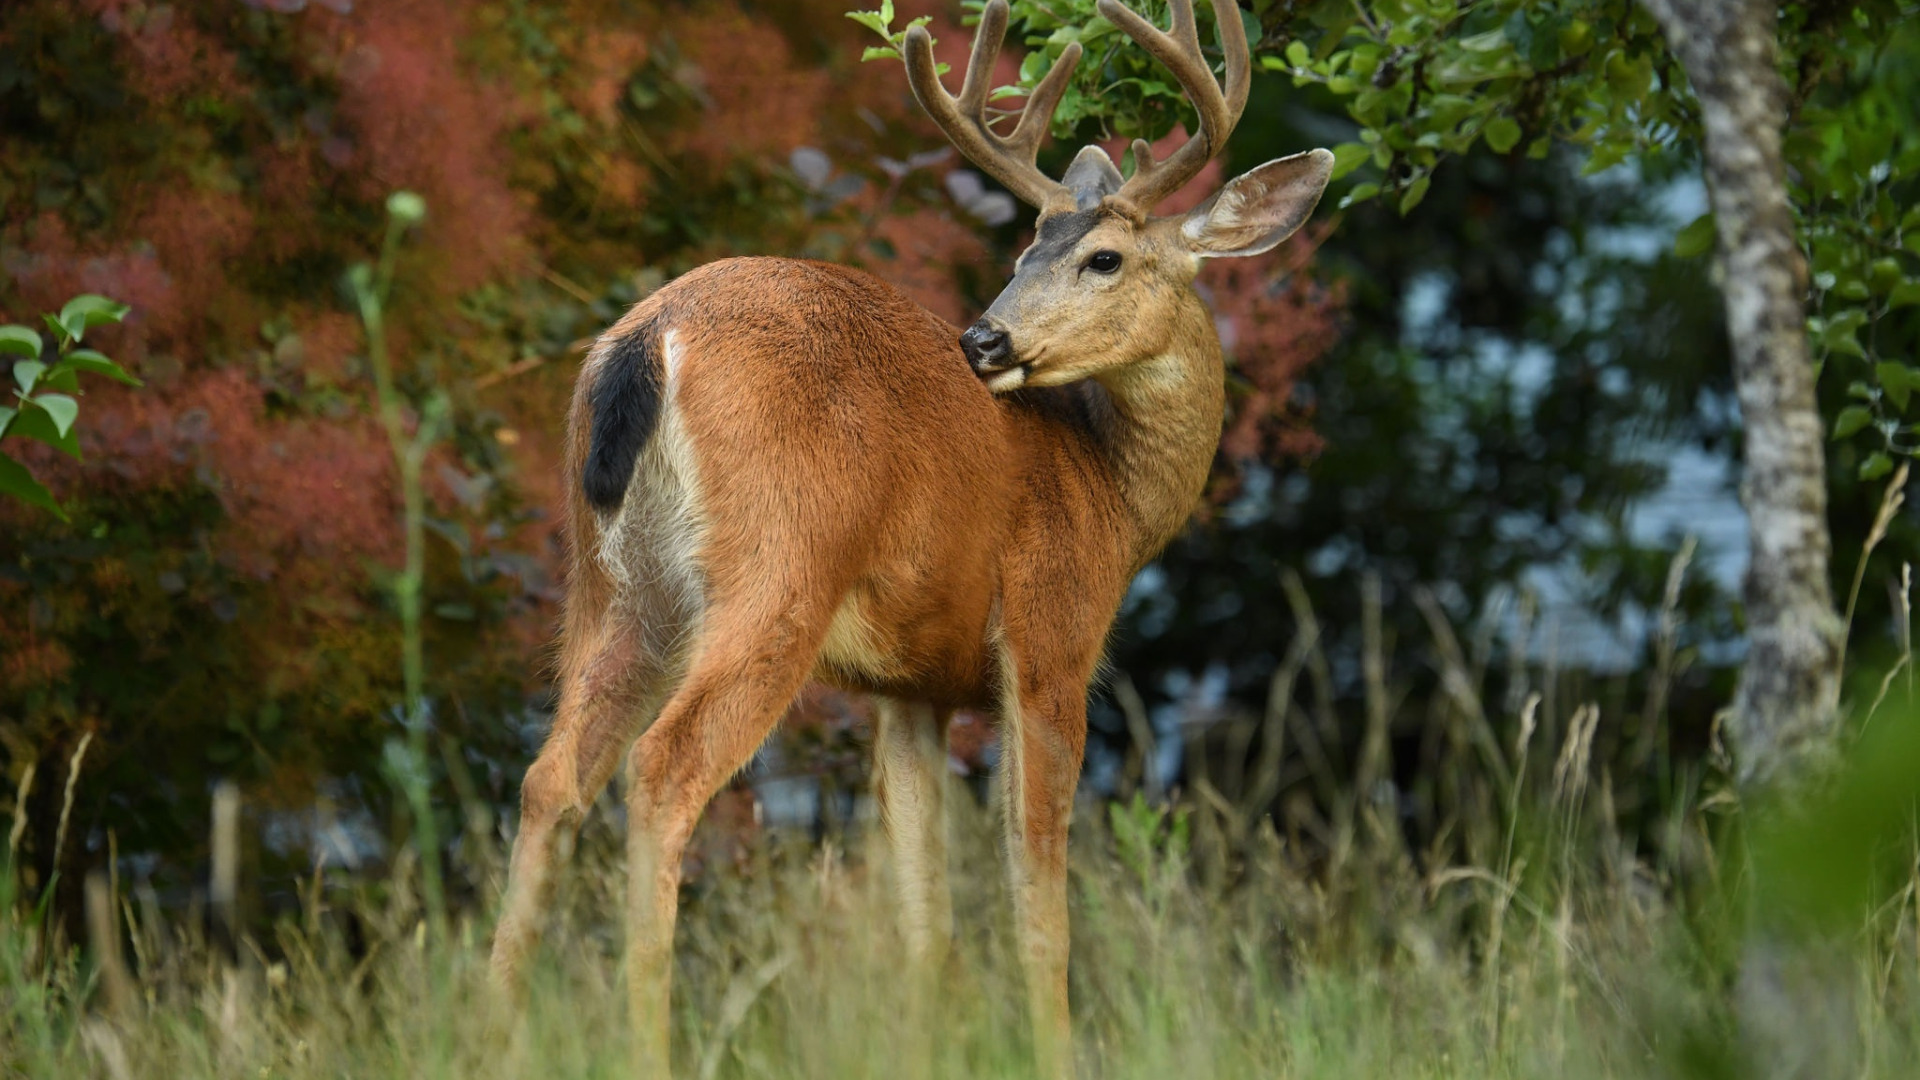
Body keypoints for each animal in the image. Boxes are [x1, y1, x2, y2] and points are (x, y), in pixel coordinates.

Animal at [491, 0, 1336, 1060]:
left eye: (1100, 258)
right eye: (1021, 256)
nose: (984, 339)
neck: (1108, 489)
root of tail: (649, 339)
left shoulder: (911, 689)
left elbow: (925, 923)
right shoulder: (1051, 635)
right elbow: (1037, 904)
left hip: (611, 587)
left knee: (549, 779)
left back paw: (484, 1027)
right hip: (779, 566)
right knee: (663, 767)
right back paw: (650, 1045)